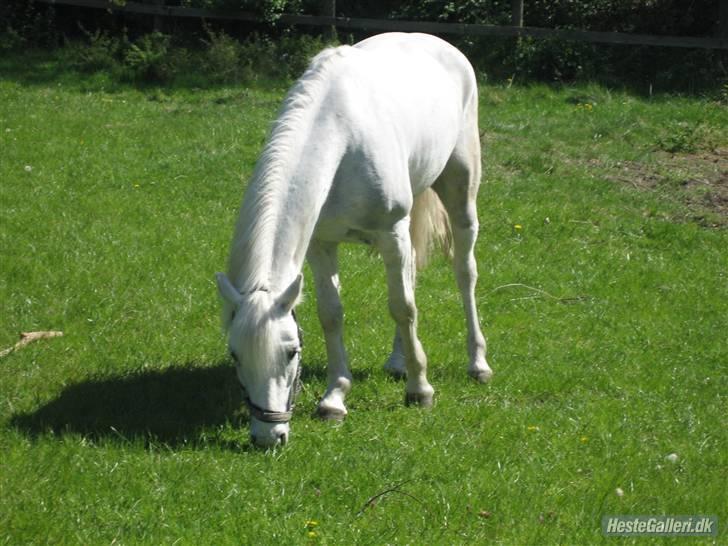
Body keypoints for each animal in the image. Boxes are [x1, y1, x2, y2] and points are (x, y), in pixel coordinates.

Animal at [215, 31, 490, 444]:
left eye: (291, 352)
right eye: (235, 355)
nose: (269, 435)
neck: (340, 138)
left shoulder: (391, 233)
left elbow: (403, 307)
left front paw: (420, 390)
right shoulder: (322, 246)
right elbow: (332, 314)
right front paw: (334, 399)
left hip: (459, 193)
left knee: (464, 272)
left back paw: (477, 363)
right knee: (411, 276)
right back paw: (398, 361)